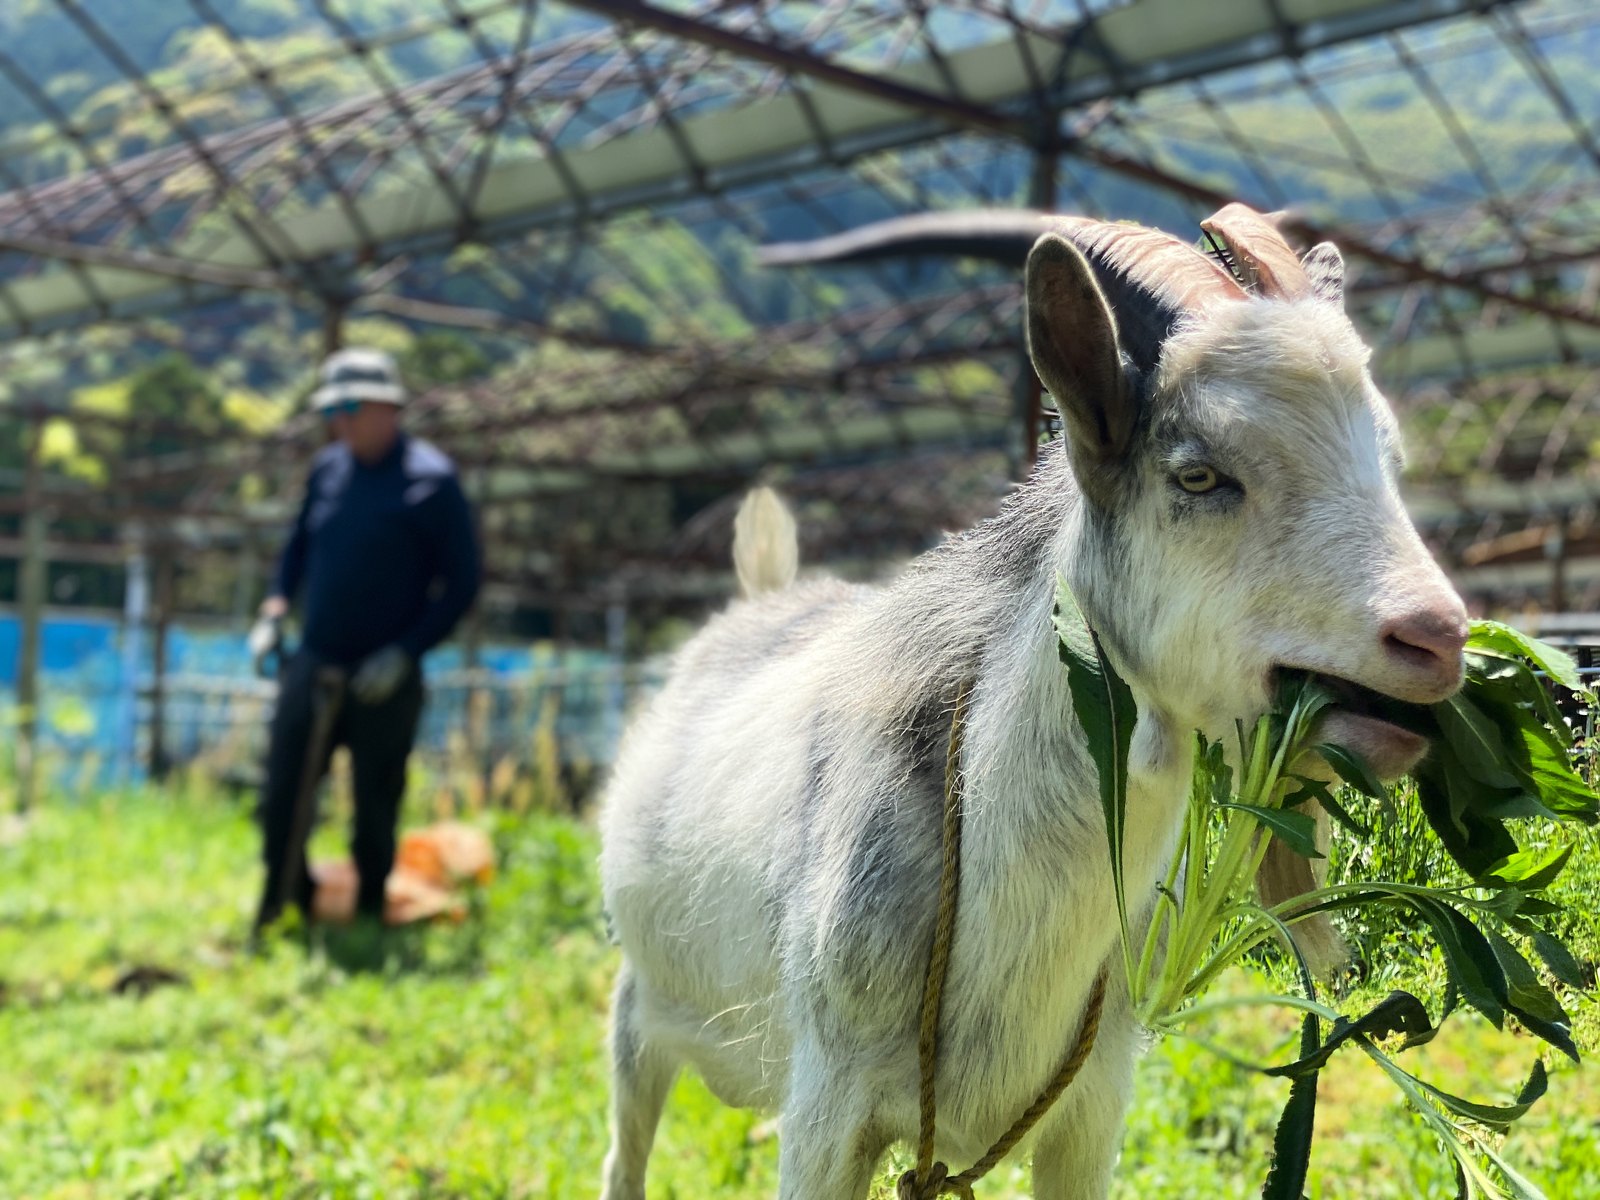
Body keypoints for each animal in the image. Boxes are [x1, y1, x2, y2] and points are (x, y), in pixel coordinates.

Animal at [597, 203, 1468, 1199]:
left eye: (1389, 460)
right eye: (1200, 474)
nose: (1435, 637)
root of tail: (761, 593)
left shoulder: (1092, 1108)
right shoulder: (827, 1109)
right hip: (637, 1011)